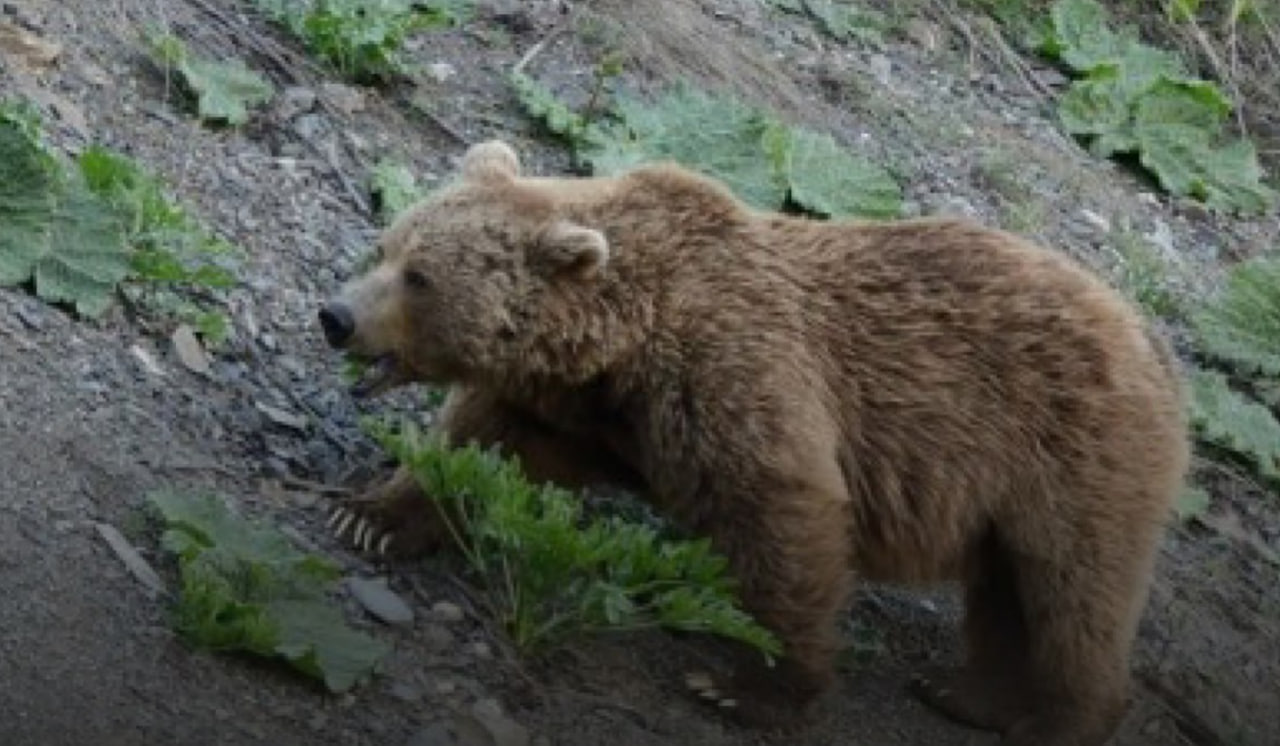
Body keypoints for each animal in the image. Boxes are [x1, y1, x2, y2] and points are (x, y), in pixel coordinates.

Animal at [317, 139, 1189, 746]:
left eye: (421, 278)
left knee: (1073, 590)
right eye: (388, 245)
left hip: (1072, 453)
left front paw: (747, 686)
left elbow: (785, 518)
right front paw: (370, 514)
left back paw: (1056, 718)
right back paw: (969, 693)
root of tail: (1152, 341)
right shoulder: (575, 408)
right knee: (1010, 589)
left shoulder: (731, 373)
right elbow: (476, 445)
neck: (619, 343)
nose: (336, 316)